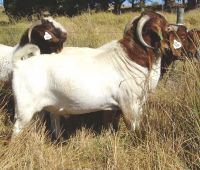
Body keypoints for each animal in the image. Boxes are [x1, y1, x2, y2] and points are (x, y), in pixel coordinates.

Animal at [11, 11, 188, 137]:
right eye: (165, 25)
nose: (181, 27)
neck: (130, 59)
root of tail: (20, 64)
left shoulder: (116, 107)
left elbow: (110, 124)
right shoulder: (129, 104)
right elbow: (134, 127)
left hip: (44, 108)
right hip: (24, 109)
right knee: (17, 129)